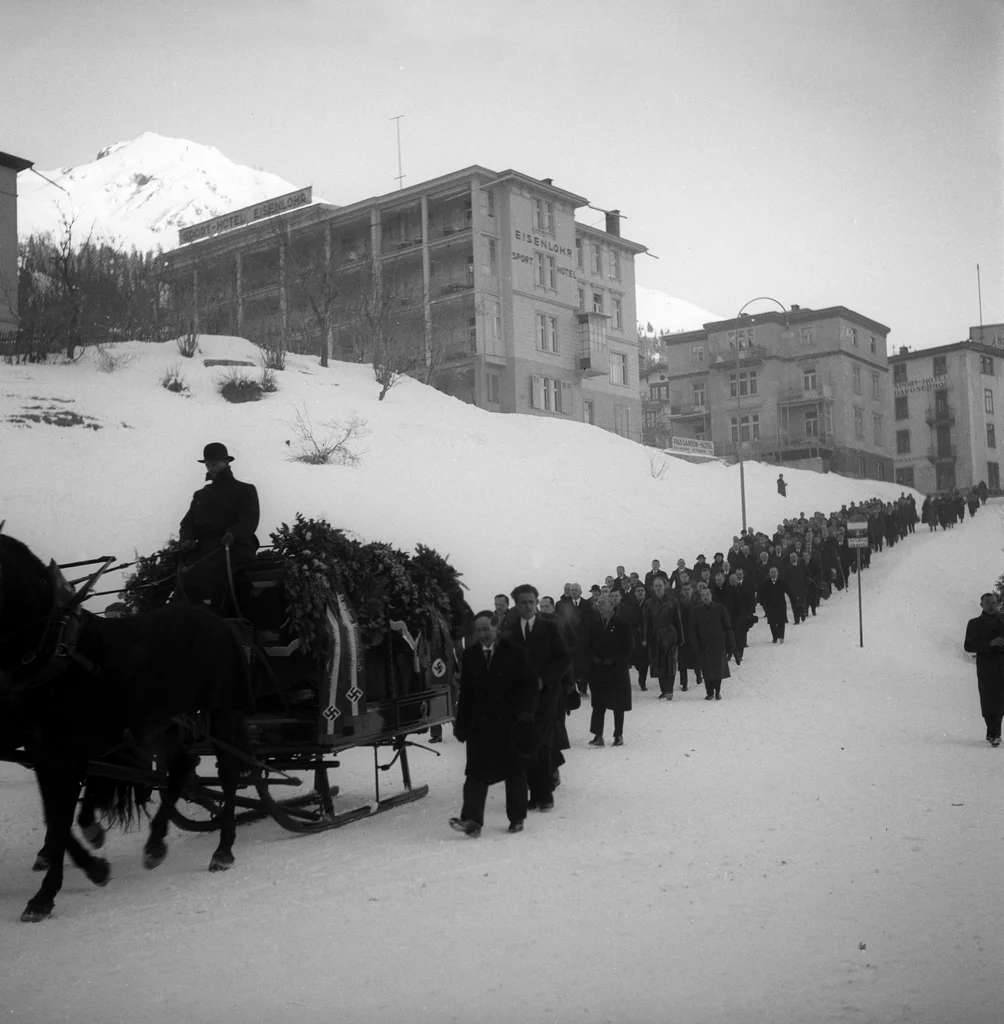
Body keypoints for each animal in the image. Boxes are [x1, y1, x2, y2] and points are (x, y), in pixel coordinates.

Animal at [0, 532, 255, 925]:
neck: (58, 654)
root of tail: (216, 619)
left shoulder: (71, 754)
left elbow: (60, 819)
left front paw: (52, 890)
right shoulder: (43, 751)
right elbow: (54, 817)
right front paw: (77, 873)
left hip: (221, 710)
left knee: (227, 774)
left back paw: (223, 849)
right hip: (160, 724)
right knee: (181, 767)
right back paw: (155, 844)